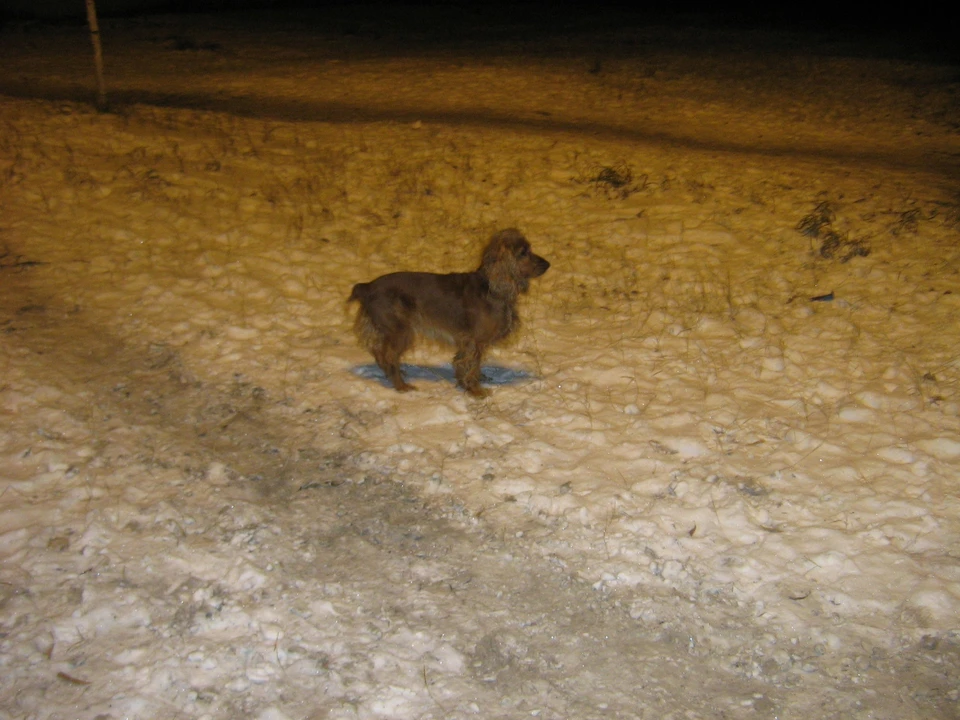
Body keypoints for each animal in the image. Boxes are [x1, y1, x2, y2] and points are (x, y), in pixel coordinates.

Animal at [350, 229, 548, 396]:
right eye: (523, 252)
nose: (548, 264)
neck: (491, 287)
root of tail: (367, 287)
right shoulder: (474, 341)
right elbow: (471, 365)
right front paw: (476, 390)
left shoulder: (469, 342)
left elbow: (467, 364)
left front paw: (474, 380)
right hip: (400, 331)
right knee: (389, 355)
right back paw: (402, 386)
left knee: (379, 351)